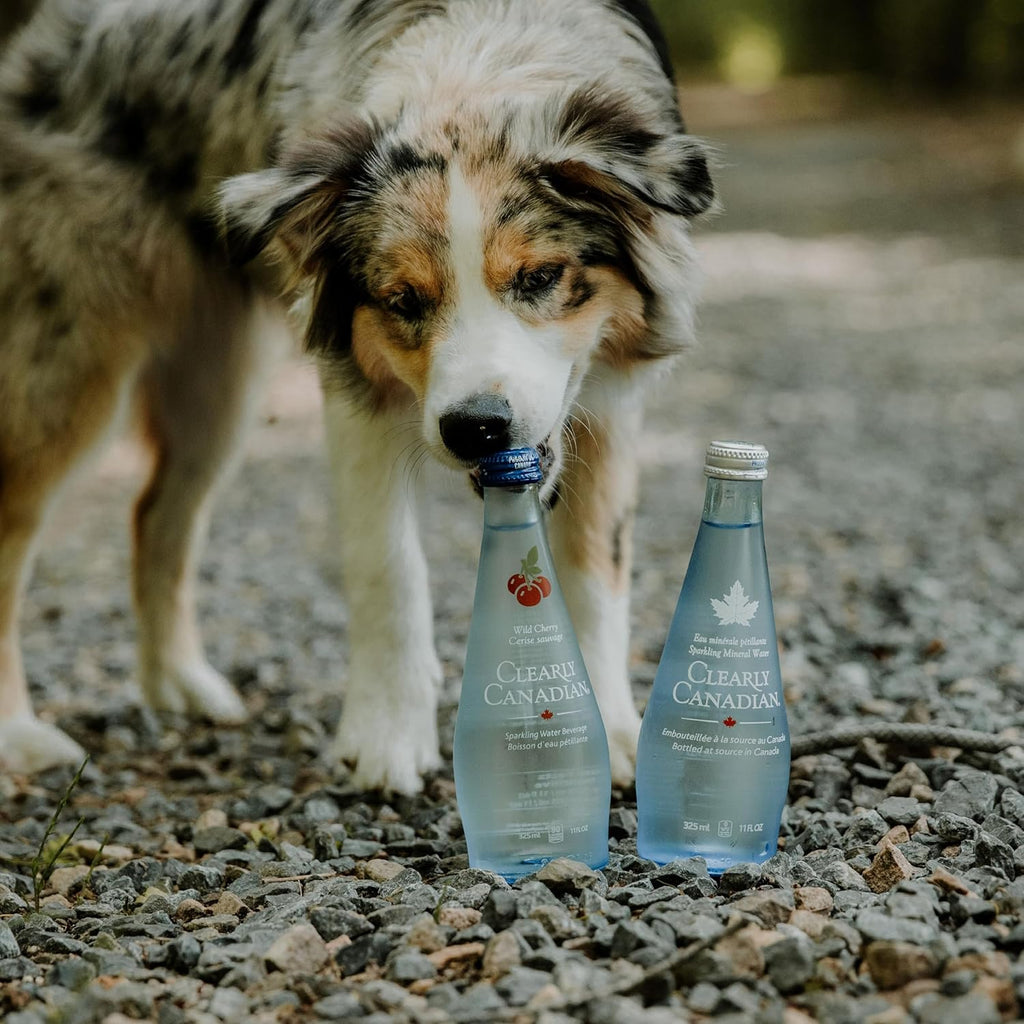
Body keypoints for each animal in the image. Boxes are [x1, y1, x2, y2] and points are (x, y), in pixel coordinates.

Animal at [0, 0, 716, 790]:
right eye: (402, 299)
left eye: (539, 277)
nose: (476, 428)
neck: (478, 68)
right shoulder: (358, 393)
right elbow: (388, 569)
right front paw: (386, 741)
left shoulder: (612, 397)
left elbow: (595, 565)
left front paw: (609, 730)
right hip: (68, 364)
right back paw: (17, 737)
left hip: (221, 386)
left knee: (158, 514)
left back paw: (179, 684)